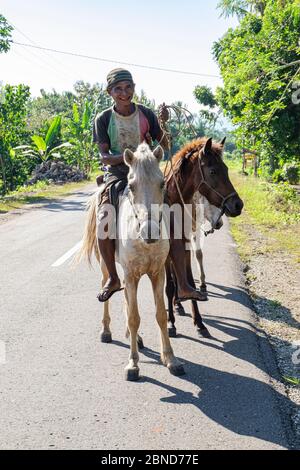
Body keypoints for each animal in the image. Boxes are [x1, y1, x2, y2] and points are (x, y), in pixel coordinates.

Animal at [79, 143, 183, 382]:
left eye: (162, 183)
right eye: (132, 186)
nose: (150, 231)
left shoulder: (157, 273)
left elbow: (160, 314)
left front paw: (170, 358)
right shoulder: (131, 273)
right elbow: (135, 317)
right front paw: (133, 364)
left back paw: (134, 337)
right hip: (107, 266)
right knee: (109, 285)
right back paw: (106, 330)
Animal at [164, 136, 244, 338]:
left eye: (226, 169)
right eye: (213, 170)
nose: (238, 205)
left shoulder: (185, 243)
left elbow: (189, 280)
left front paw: (199, 322)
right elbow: (168, 286)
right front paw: (170, 323)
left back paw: (179, 303)